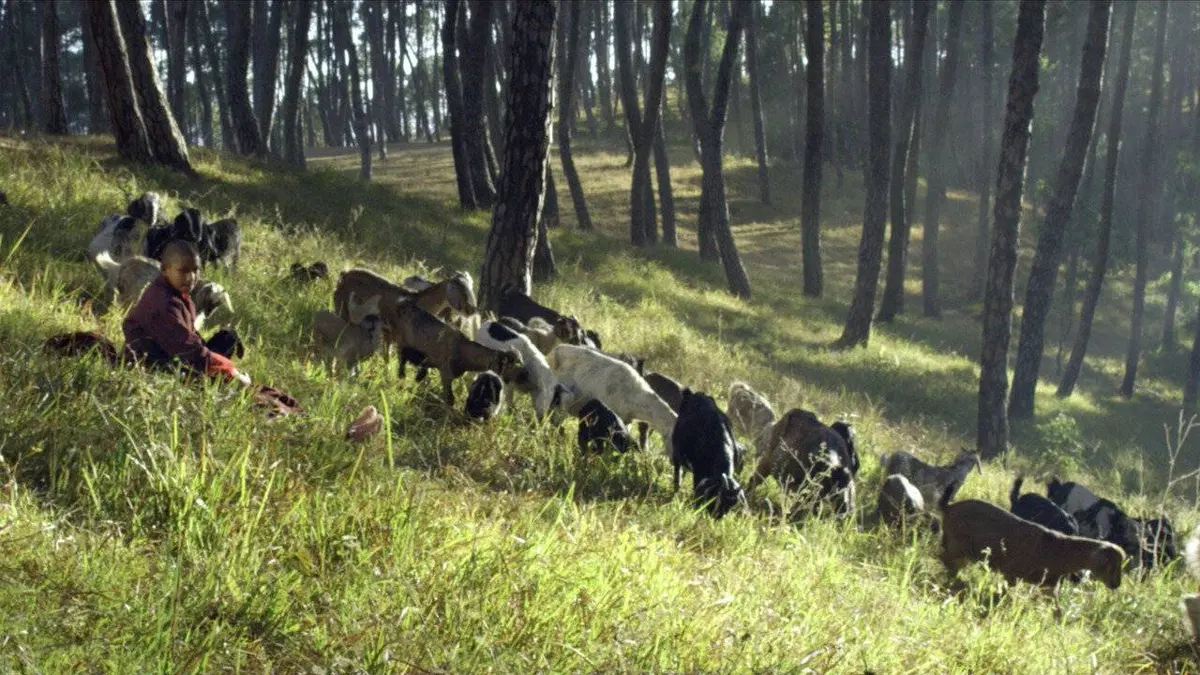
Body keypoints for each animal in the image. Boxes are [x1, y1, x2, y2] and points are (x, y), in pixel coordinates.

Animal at [671, 389, 743, 519]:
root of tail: (699, 394)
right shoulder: (698, 471)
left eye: (732, 504)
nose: (716, 517)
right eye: (715, 497)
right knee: (677, 470)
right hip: (676, 452)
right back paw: (676, 489)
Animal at [937, 485, 1125, 589]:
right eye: (1112, 565)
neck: (1062, 548)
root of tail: (949, 507)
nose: (1116, 585)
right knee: (945, 559)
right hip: (959, 547)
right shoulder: (1012, 574)